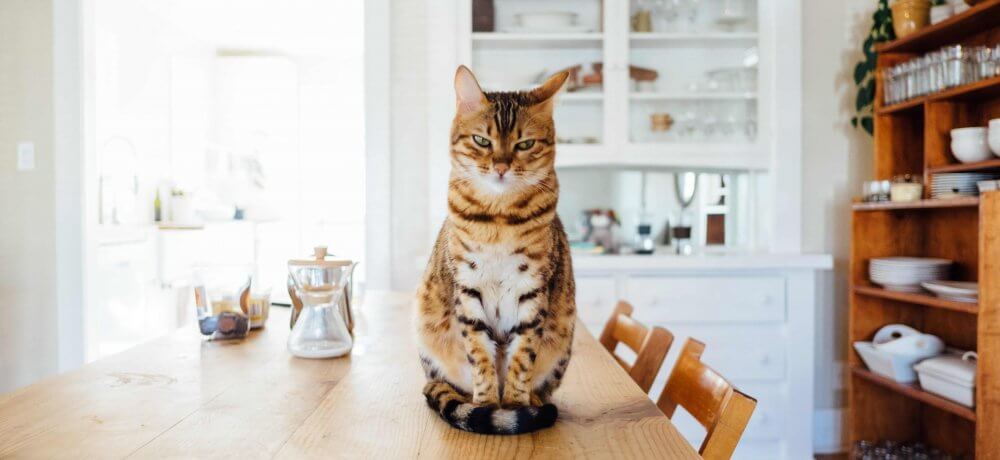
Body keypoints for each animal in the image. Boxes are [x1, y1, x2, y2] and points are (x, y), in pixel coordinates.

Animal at [416, 65, 580, 434]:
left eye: (525, 144)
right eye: (482, 140)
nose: (501, 166)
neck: (499, 219)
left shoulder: (533, 290)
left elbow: (522, 358)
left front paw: (516, 406)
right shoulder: (468, 288)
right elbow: (479, 355)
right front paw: (488, 405)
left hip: (563, 337)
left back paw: (534, 402)